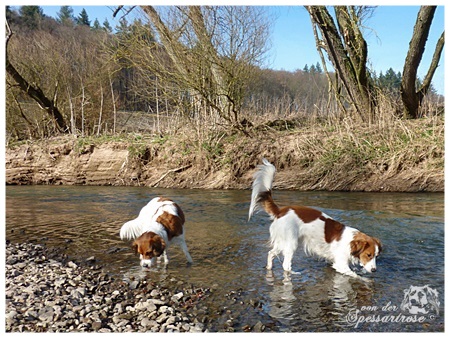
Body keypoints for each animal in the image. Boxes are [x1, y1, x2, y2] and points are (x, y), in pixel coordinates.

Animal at [248, 158, 382, 278]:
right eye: (368, 255)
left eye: (376, 256)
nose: (374, 270)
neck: (349, 241)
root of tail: (281, 211)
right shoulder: (341, 265)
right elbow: (358, 277)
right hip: (291, 242)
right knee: (285, 265)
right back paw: (294, 274)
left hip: (282, 242)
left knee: (270, 253)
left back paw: (269, 268)